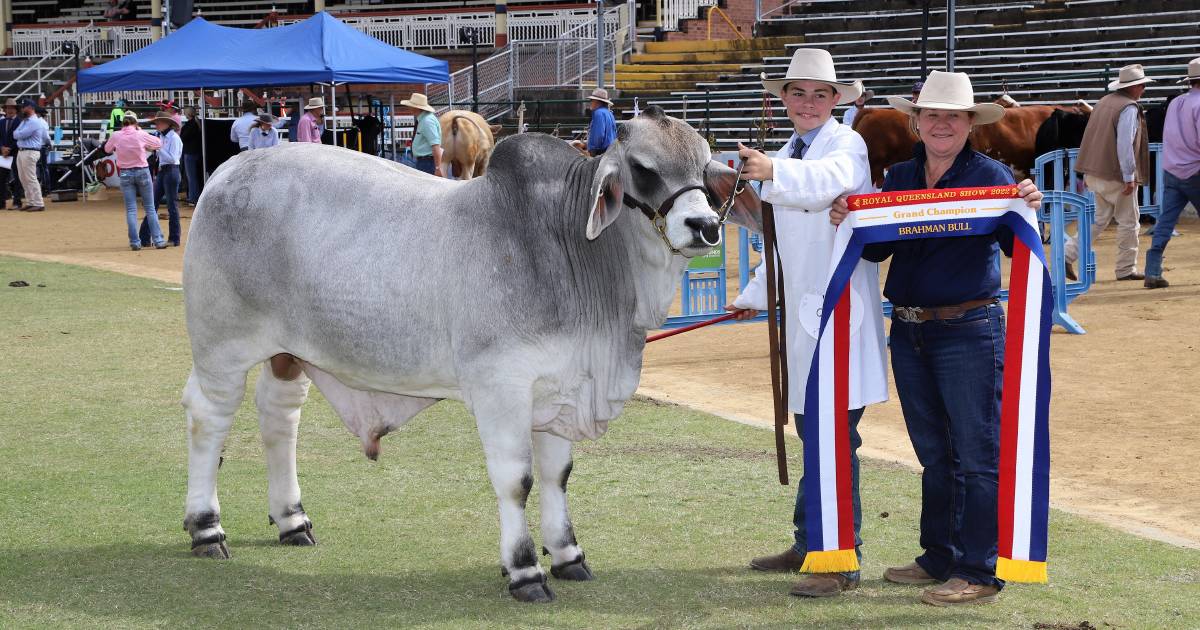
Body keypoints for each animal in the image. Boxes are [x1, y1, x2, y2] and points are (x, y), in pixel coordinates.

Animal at [177, 105, 758, 602]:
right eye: (642, 167)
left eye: (705, 165)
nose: (705, 226)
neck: (567, 246)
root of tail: (230, 169)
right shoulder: (502, 386)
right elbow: (516, 480)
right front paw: (524, 570)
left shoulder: (560, 387)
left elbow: (557, 475)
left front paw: (568, 555)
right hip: (222, 346)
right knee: (209, 419)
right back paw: (207, 528)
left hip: (288, 352)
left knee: (279, 417)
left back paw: (292, 519)